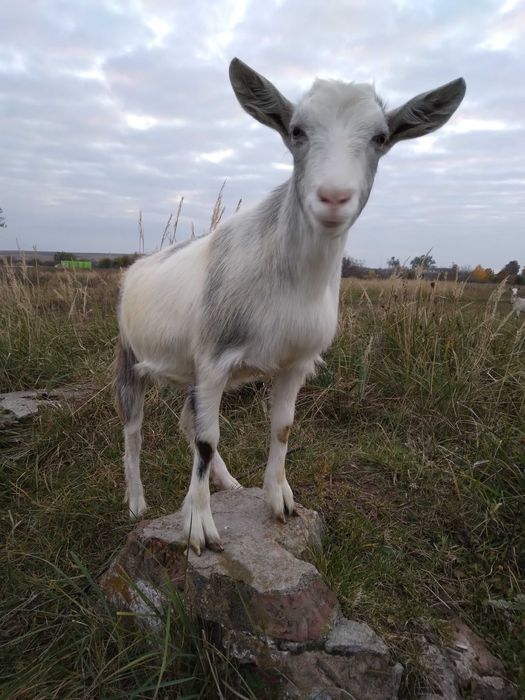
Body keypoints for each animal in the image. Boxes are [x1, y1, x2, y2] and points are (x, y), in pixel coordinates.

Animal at [114, 58, 466, 554]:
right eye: (297, 130)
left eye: (380, 137)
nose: (334, 197)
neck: (289, 283)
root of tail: (135, 269)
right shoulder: (215, 359)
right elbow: (206, 438)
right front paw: (199, 526)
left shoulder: (293, 363)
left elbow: (280, 428)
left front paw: (278, 500)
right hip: (130, 358)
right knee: (134, 430)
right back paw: (136, 503)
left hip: (190, 369)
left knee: (186, 419)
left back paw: (229, 483)